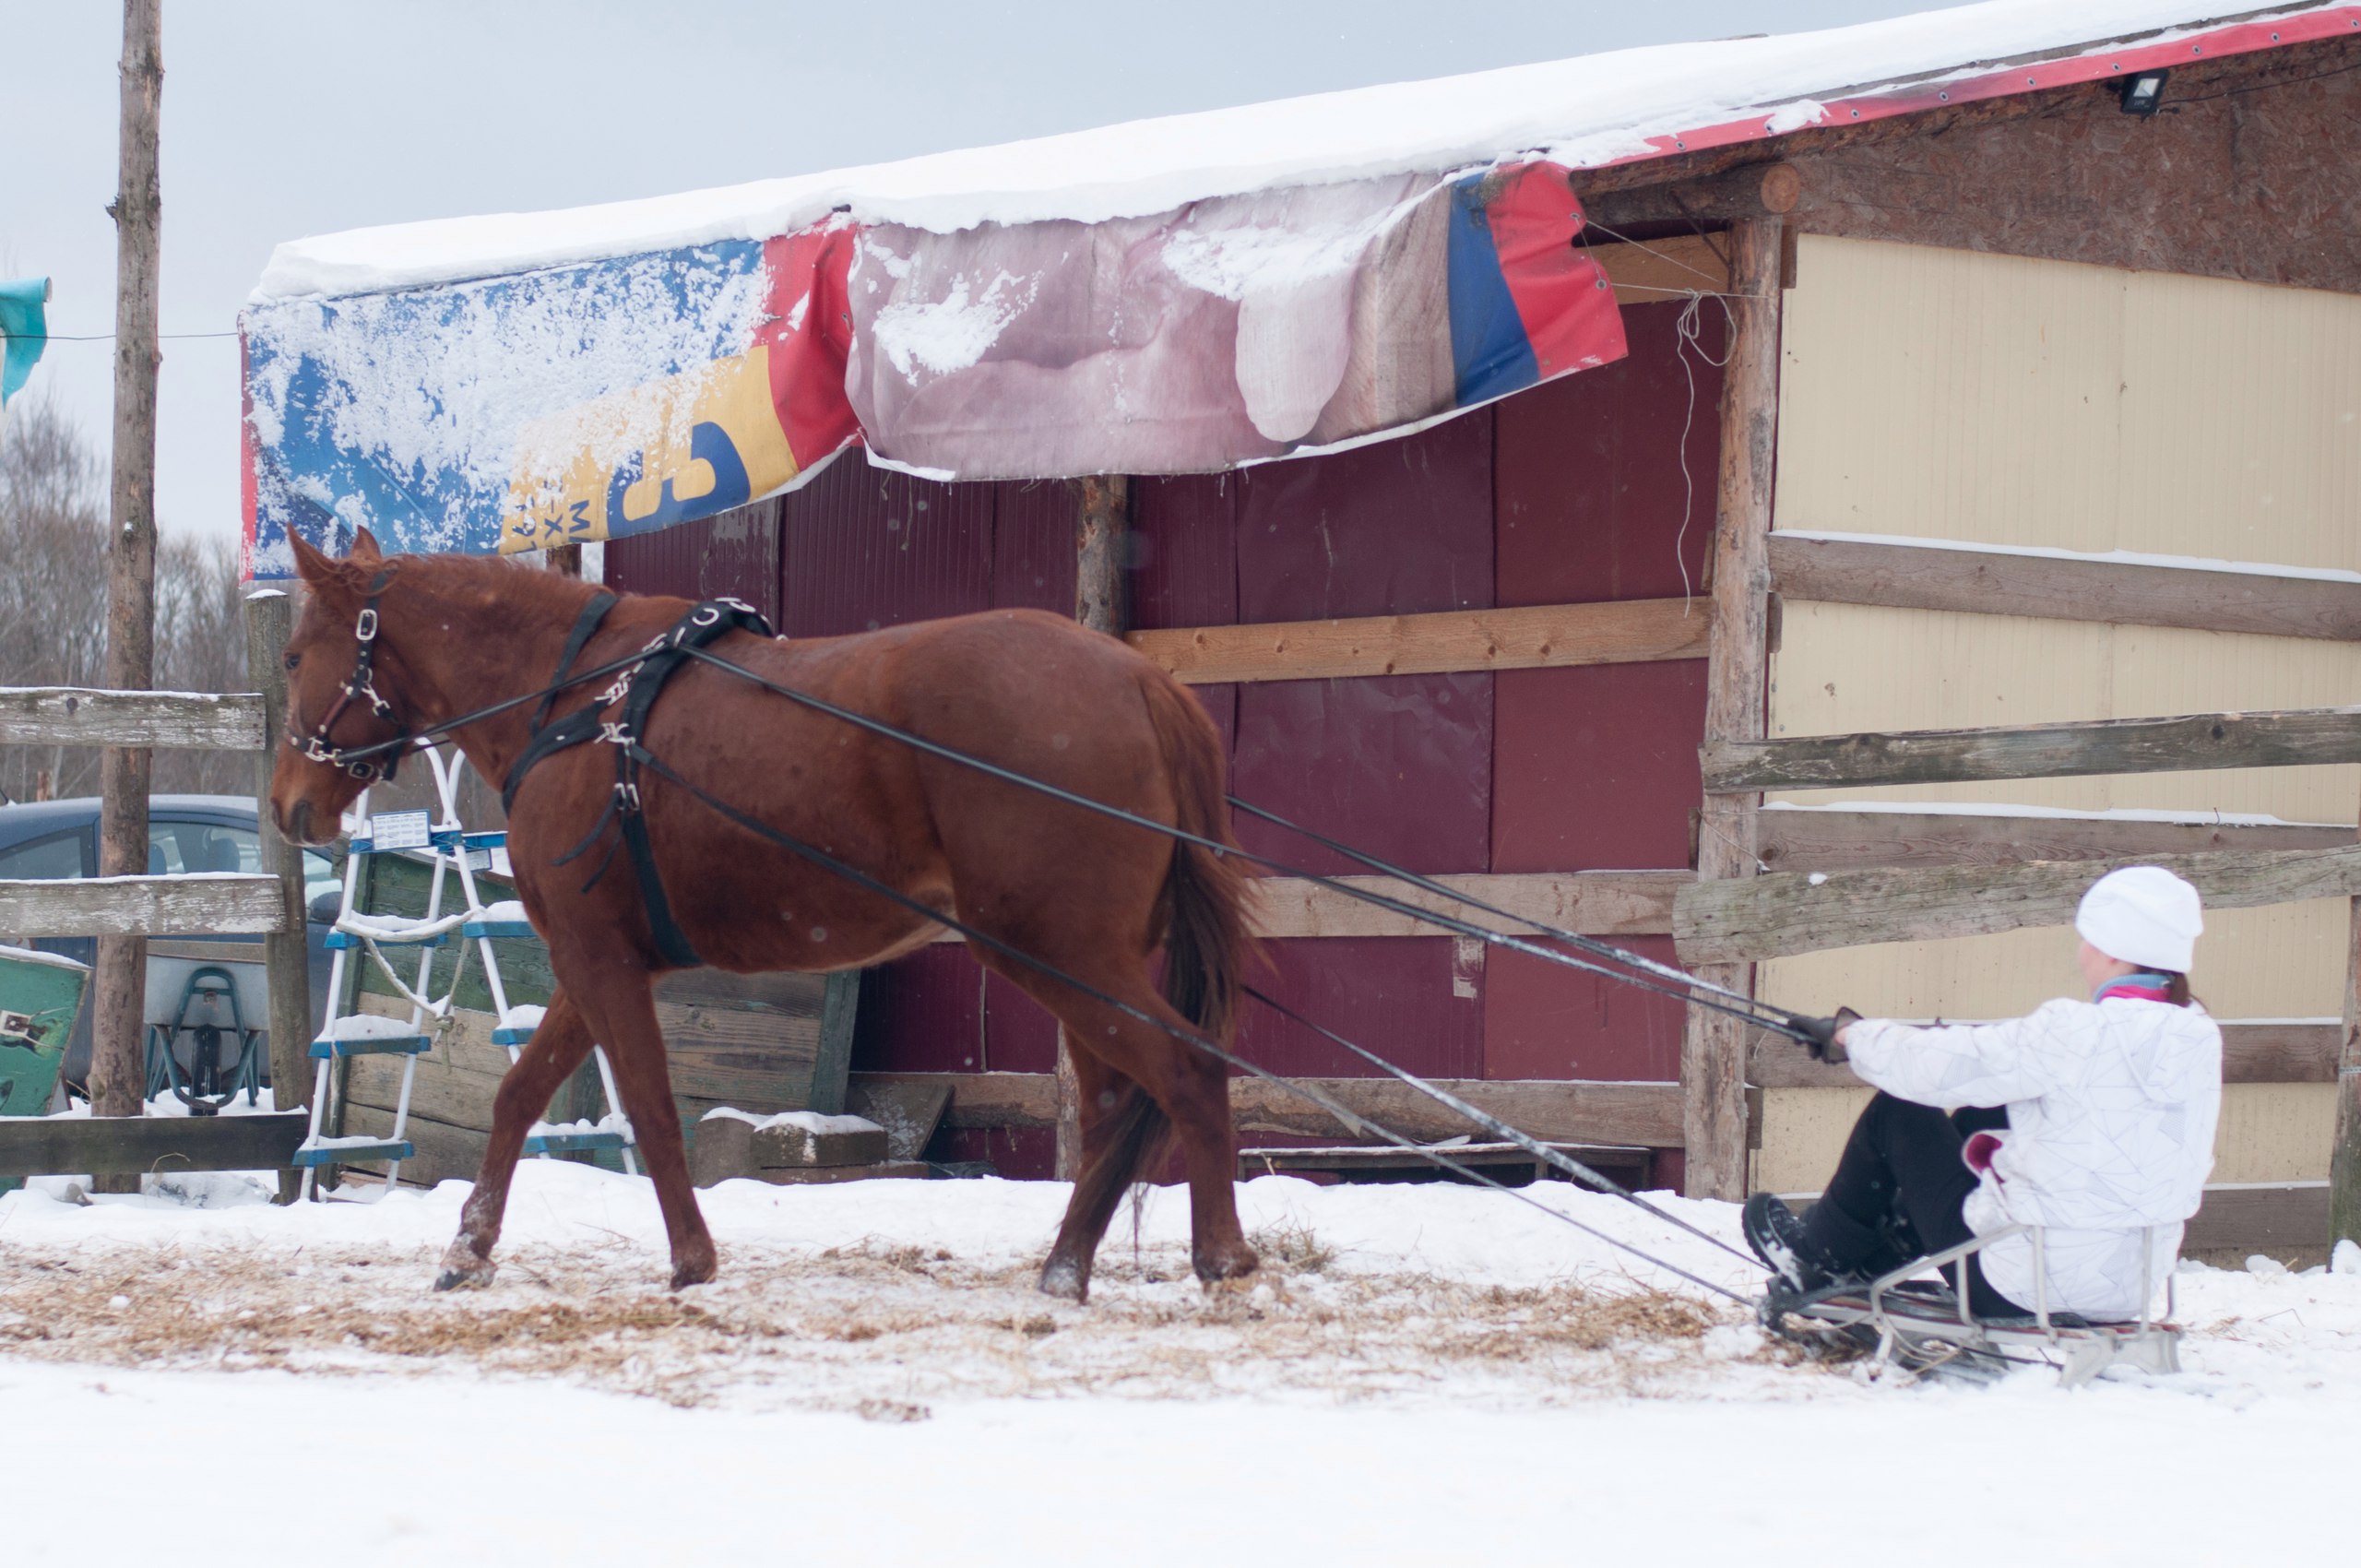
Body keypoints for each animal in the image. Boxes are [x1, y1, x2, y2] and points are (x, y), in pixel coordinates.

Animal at [269, 527, 1259, 1301]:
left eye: (291, 656)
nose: (287, 806)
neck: (582, 698)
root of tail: (1139, 680)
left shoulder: (598, 959)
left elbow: (649, 1106)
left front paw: (691, 1260)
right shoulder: (593, 963)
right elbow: (519, 1097)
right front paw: (469, 1248)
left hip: (1063, 956)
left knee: (1187, 1070)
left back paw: (1221, 1258)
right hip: (1076, 964)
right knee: (1115, 1107)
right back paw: (1067, 1267)